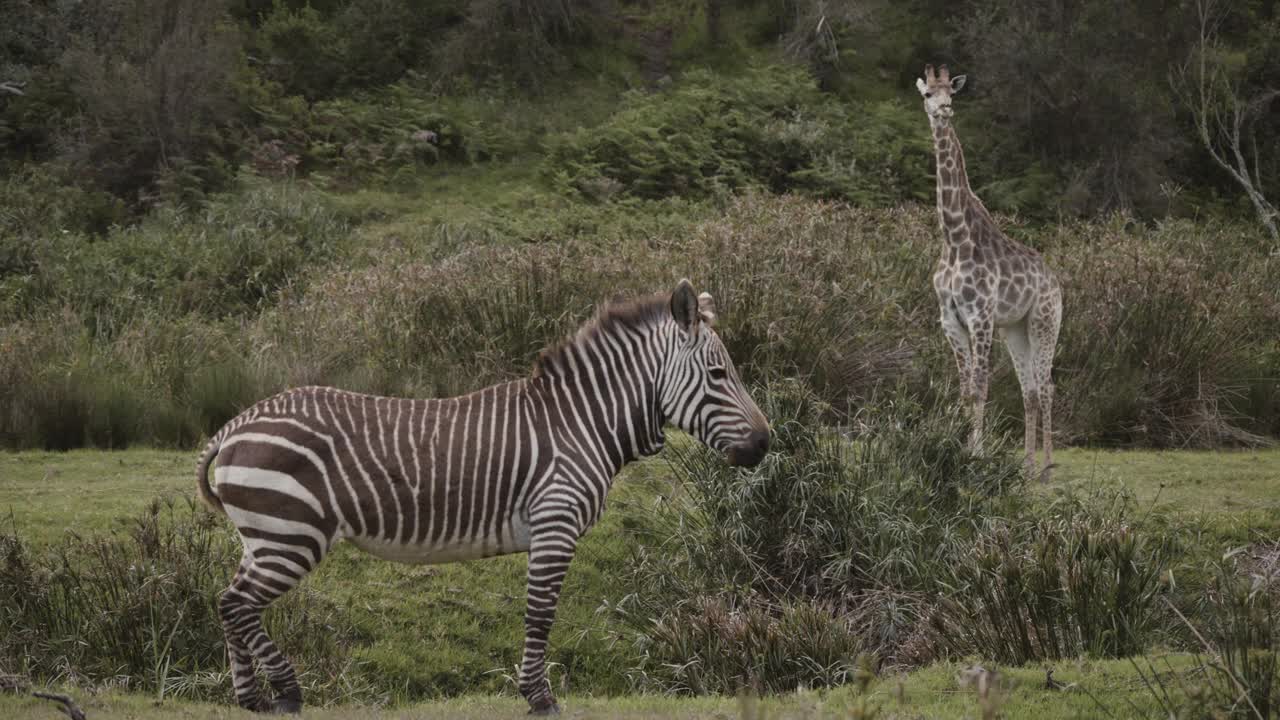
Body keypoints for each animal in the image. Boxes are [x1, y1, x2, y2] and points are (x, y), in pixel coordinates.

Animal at [194, 279, 762, 712]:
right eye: (718, 374)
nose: (765, 443)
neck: (581, 423)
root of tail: (235, 424)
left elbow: (539, 612)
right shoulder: (555, 524)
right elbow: (541, 613)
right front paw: (539, 697)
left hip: (264, 537)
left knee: (228, 602)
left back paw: (251, 699)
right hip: (291, 535)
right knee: (238, 604)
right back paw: (287, 692)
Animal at [916, 64, 1064, 479]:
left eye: (951, 92)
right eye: (928, 94)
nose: (944, 110)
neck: (953, 236)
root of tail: (1055, 281)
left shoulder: (980, 315)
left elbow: (981, 385)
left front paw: (976, 454)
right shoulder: (949, 319)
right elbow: (965, 387)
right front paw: (956, 447)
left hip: (1045, 321)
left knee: (1046, 386)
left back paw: (1048, 465)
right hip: (1015, 329)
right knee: (1029, 389)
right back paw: (1027, 466)